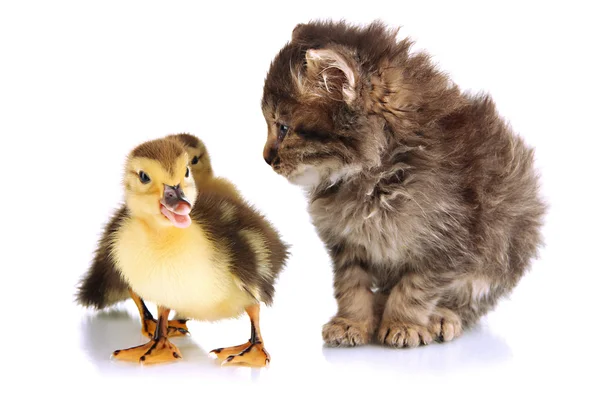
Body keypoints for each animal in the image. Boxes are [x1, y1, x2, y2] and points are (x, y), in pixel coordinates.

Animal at [260, 21, 548, 346]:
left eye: (283, 128)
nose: (265, 158)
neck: (373, 178)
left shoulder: (449, 240)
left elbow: (415, 288)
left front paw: (404, 323)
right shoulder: (347, 241)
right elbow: (351, 285)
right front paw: (352, 322)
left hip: (505, 249)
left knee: (469, 300)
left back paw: (441, 317)